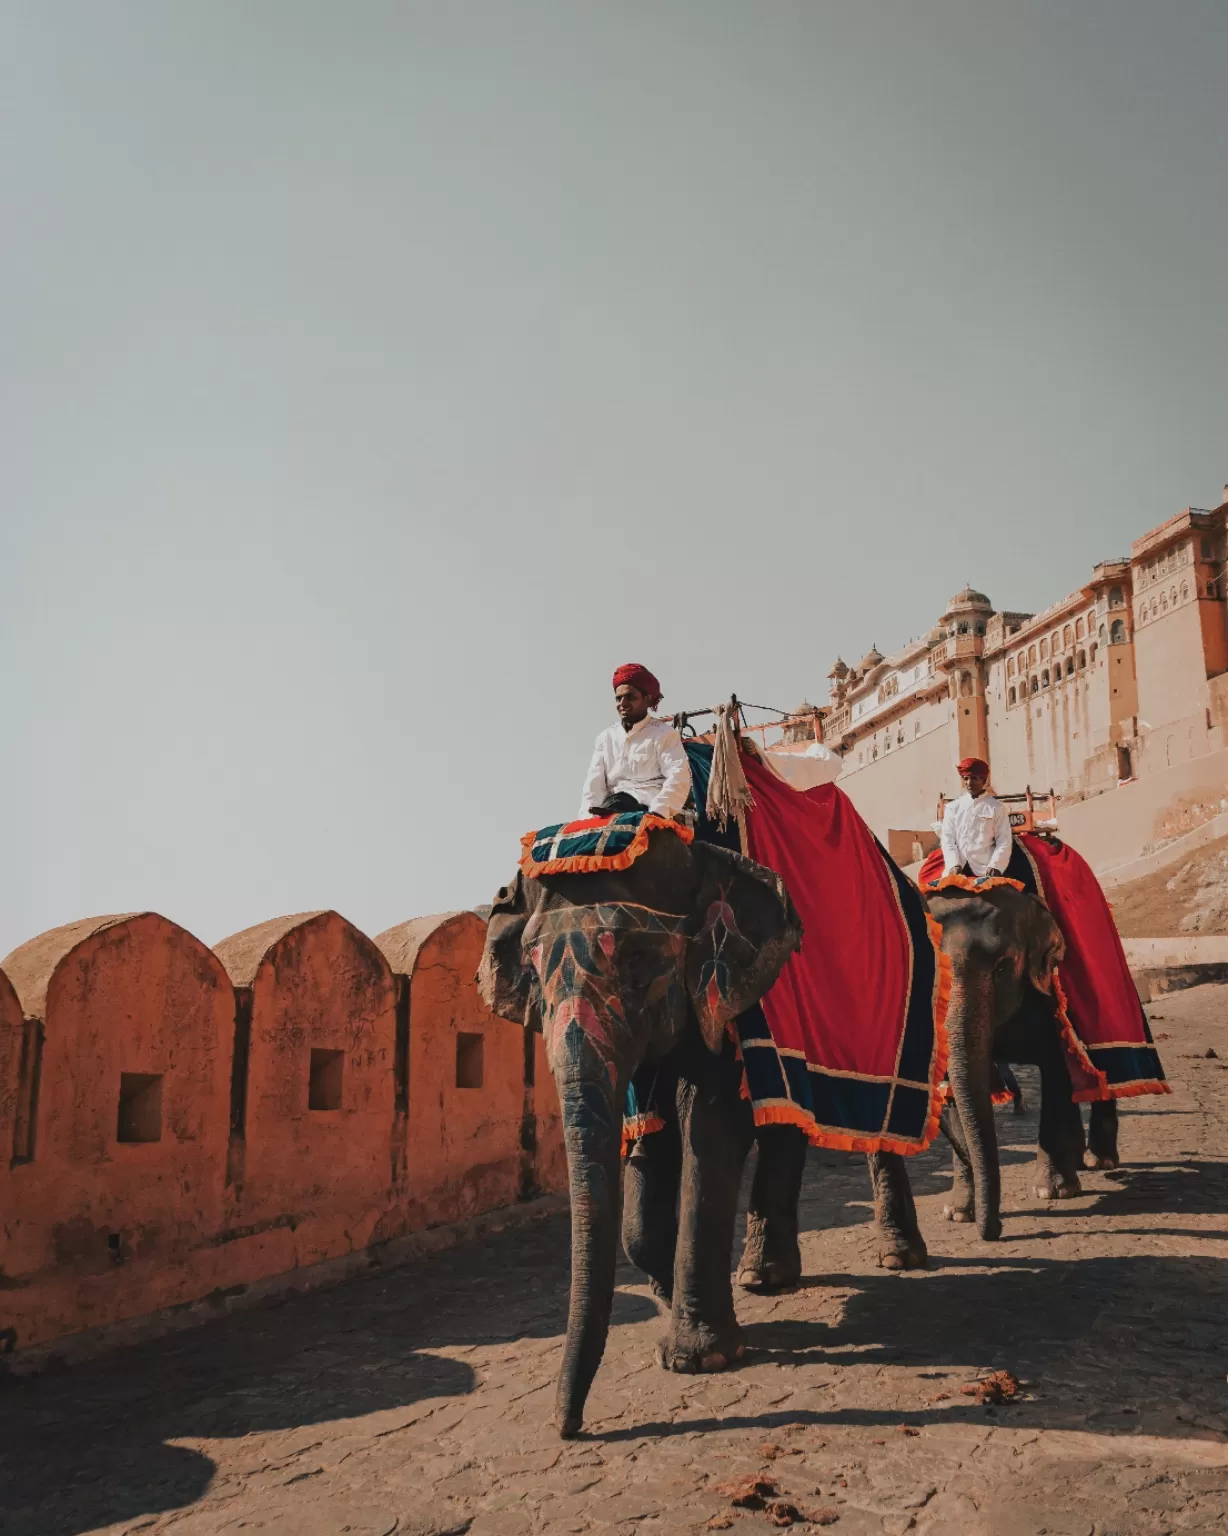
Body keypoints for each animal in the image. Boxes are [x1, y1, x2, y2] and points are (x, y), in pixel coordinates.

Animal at [476, 829, 799, 1437]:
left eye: (639, 959)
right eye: (532, 969)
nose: (569, 1428)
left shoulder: (725, 998)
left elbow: (712, 1126)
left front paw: (700, 1358)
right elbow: (648, 1141)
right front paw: (671, 1300)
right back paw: (761, 1276)